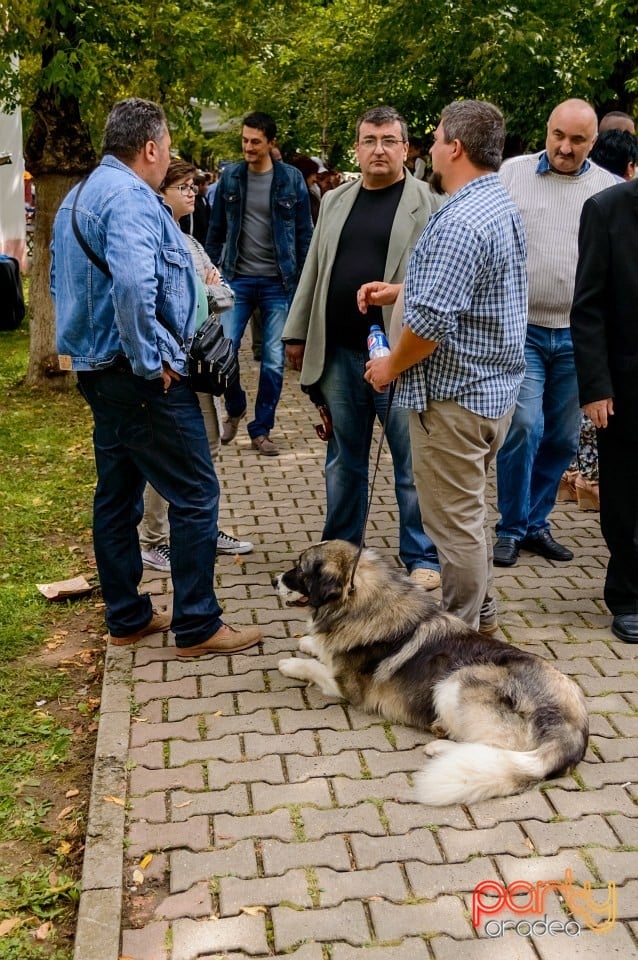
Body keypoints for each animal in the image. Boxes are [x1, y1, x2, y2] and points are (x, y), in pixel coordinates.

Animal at [276, 540, 592, 804]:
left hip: (457, 681)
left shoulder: (346, 686)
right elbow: (321, 651)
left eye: (301, 569)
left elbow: (316, 667)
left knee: (498, 748)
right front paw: (309, 642)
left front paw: (291, 663)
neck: (359, 605)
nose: (273, 581)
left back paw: (441, 748)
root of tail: (573, 725)